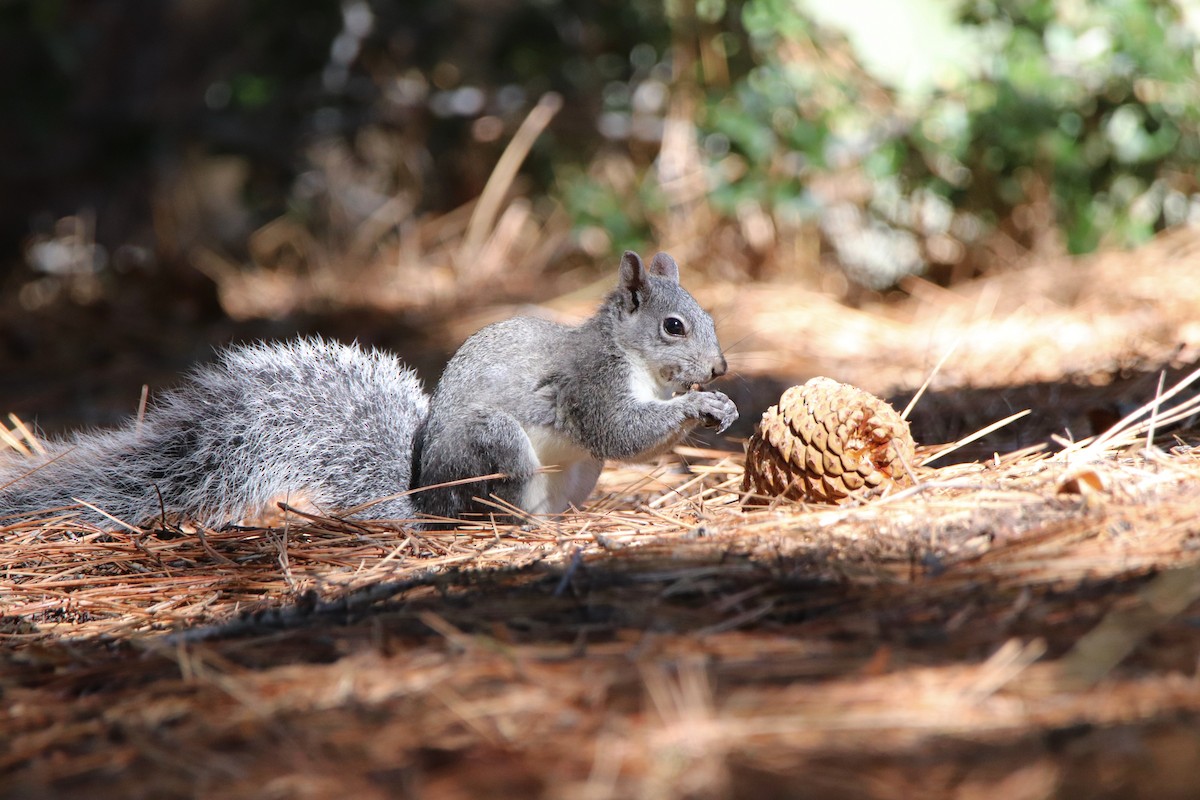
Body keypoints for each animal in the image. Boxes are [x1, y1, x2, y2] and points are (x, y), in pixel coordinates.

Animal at [0, 251, 737, 529]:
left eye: (707, 313)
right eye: (673, 326)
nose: (721, 369)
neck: (634, 359)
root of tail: (419, 502)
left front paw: (720, 407)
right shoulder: (590, 381)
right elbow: (620, 429)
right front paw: (698, 406)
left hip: (575, 475)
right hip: (494, 447)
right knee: (492, 505)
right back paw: (520, 525)